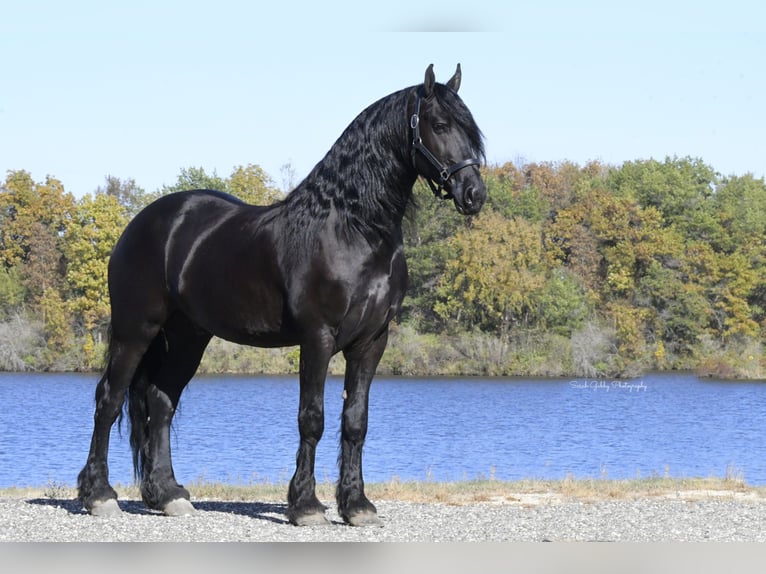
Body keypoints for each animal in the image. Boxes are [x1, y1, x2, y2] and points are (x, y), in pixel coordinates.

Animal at [78, 63, 486, 528]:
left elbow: (355, 422)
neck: (353, 228)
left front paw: (357, 505)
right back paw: (99, 496)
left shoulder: (371, 342)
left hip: (186, 338)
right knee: (109, 400)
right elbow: (313, 419)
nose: (474, 194)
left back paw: (168, 495)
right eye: (440, 125)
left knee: (160, 403)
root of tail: (142, 223)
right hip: (136, 330)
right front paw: (306, 505)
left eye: (471, 129)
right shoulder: (318, 338)